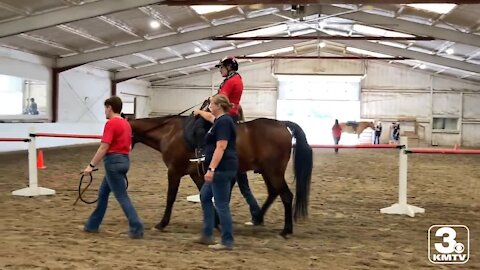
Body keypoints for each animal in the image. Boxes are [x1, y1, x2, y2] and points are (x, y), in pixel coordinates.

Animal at [129, 115, 314, 237]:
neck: (171, 132)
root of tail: (282, 124)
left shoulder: (174, 171)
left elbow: (170, 198)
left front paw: (162, 223)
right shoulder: (196, 174)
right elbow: (204, 195)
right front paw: (216, 222)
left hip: (274, 172)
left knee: (286, 196)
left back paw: (286, 230)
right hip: (266, 172)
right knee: (274, 193)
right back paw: (257, 218)